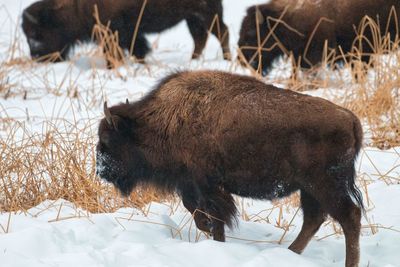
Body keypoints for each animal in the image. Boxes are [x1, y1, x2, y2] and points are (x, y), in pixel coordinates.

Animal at [21, 0, 231, 63]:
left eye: (36, 33)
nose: (36, 57)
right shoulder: (128, 34)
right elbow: (137, 48)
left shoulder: (111, 33)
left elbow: (115, 52)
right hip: (193, 17)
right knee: (200, 37)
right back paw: (192, 61)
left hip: (206, 14)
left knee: (222, 33)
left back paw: (227, 59)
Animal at [97, 71, 366, 267]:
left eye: (108, 139)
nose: (101, 170)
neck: (164, 120)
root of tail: (351, 119)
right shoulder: (193, 185)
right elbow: (195, 209)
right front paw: (207, 229)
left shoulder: (208, 186)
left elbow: (215, 217)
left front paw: (214, 238)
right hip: (309, 188)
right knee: (314, 219)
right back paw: (290, 252)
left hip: (324, 185)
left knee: (348, 216)